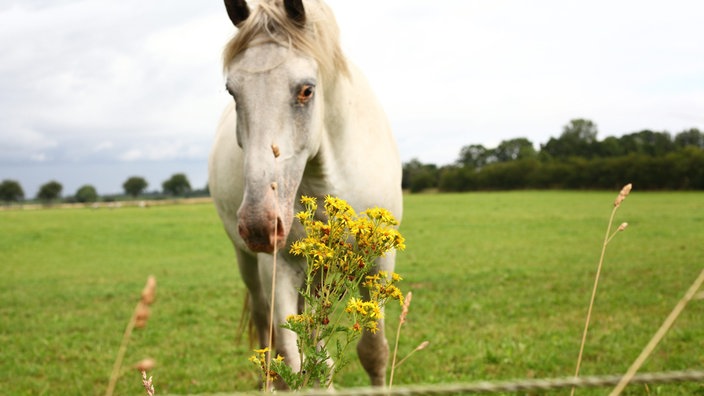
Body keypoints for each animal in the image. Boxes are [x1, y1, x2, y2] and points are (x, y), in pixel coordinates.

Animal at [208, 0, 402, 388]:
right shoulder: (277, 268)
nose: (260, 224)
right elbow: (293, 361)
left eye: (306, 90)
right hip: (251, 267)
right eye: (232, 91)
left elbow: (373, 353)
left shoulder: (380, 263)